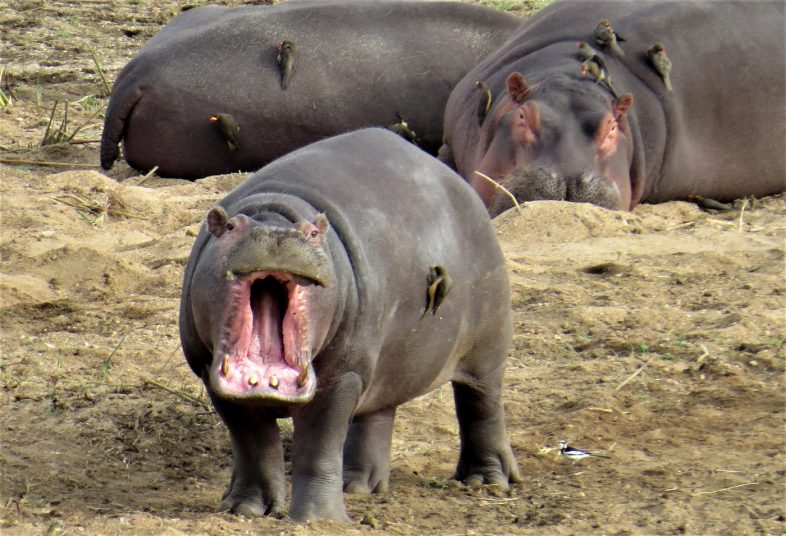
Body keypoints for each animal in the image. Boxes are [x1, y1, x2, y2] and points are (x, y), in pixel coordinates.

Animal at [178, 128, 521, 521]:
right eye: (231, 226)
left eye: (312, 233)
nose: (278, 235)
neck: (274, 208)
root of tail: (461, 185)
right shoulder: (212, 374)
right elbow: (254, 446)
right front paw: (245, 510)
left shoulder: (343, 376)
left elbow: (319, 445)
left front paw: (318, 519)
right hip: (385, 360)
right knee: (377, 414)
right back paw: (357, 487)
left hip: (486, 345)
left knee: (482, 404)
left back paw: (486, 482)